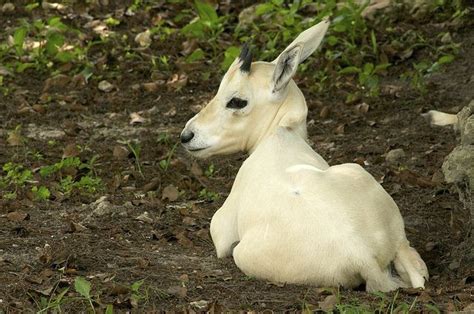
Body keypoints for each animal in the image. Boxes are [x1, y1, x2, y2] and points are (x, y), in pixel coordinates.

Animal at [180, 18, 428, 290]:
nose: (187, 135)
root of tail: (362, 257)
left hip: (242, 253)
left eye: (237, 101)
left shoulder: (221, 230)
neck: (278, 134)